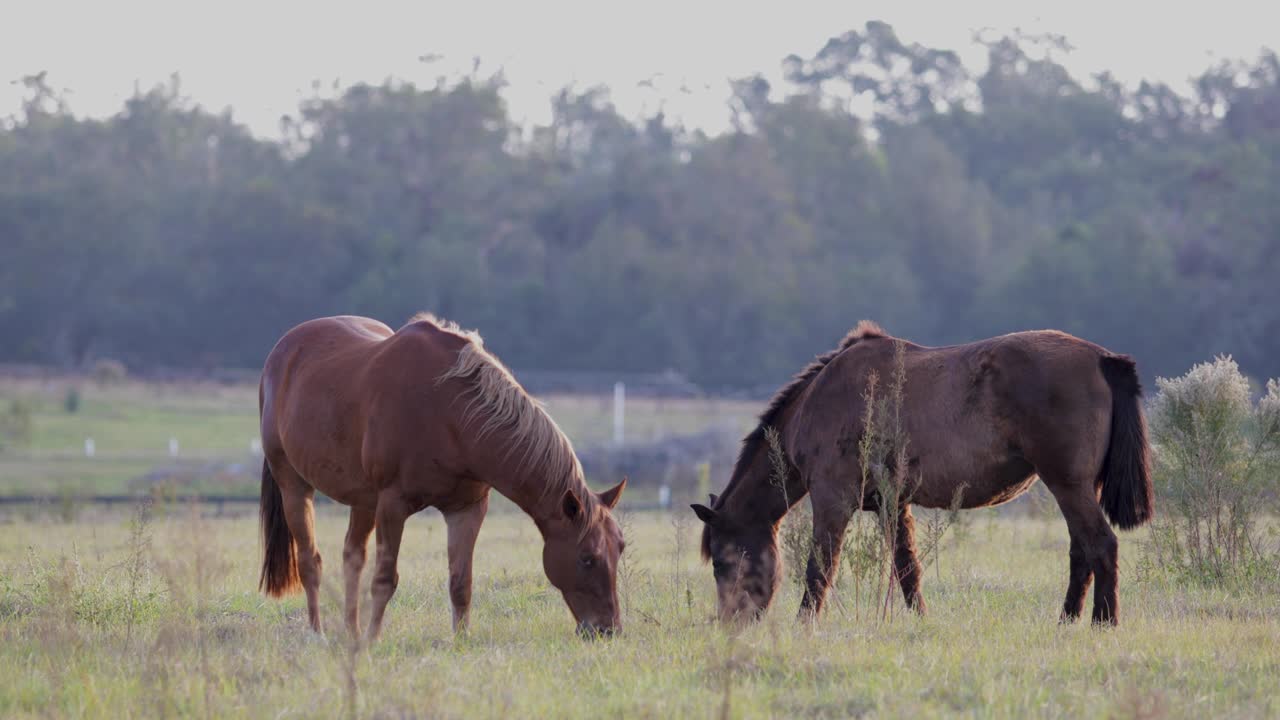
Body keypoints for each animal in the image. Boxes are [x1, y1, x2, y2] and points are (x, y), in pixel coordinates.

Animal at [257, 313, 627, 641]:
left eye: (620, 549)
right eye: (587, 558)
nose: (607, 631)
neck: (449, 413)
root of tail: (282, 351)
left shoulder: (467, 509)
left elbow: (460, 582)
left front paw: (460, 640)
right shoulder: (392, 506)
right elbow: (385, 579)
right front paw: (373, 640)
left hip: (362, 501)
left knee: (352, 558)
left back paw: (351, 631)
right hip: (294, 485)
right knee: (310, 561)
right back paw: (318, 633)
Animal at [691, 321, 1152, 626]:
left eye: (722, 561)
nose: (731, 622)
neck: (819, 401)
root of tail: (1102, 358)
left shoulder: (832, 500)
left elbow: (820, 566)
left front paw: (804, 624)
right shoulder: (892, 504)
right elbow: (906, 566)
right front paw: (921, 621)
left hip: (1069, 486)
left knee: (1101, 545)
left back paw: (1103, 623)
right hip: (1076, 489)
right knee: (1082, 552)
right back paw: (1067, 621)